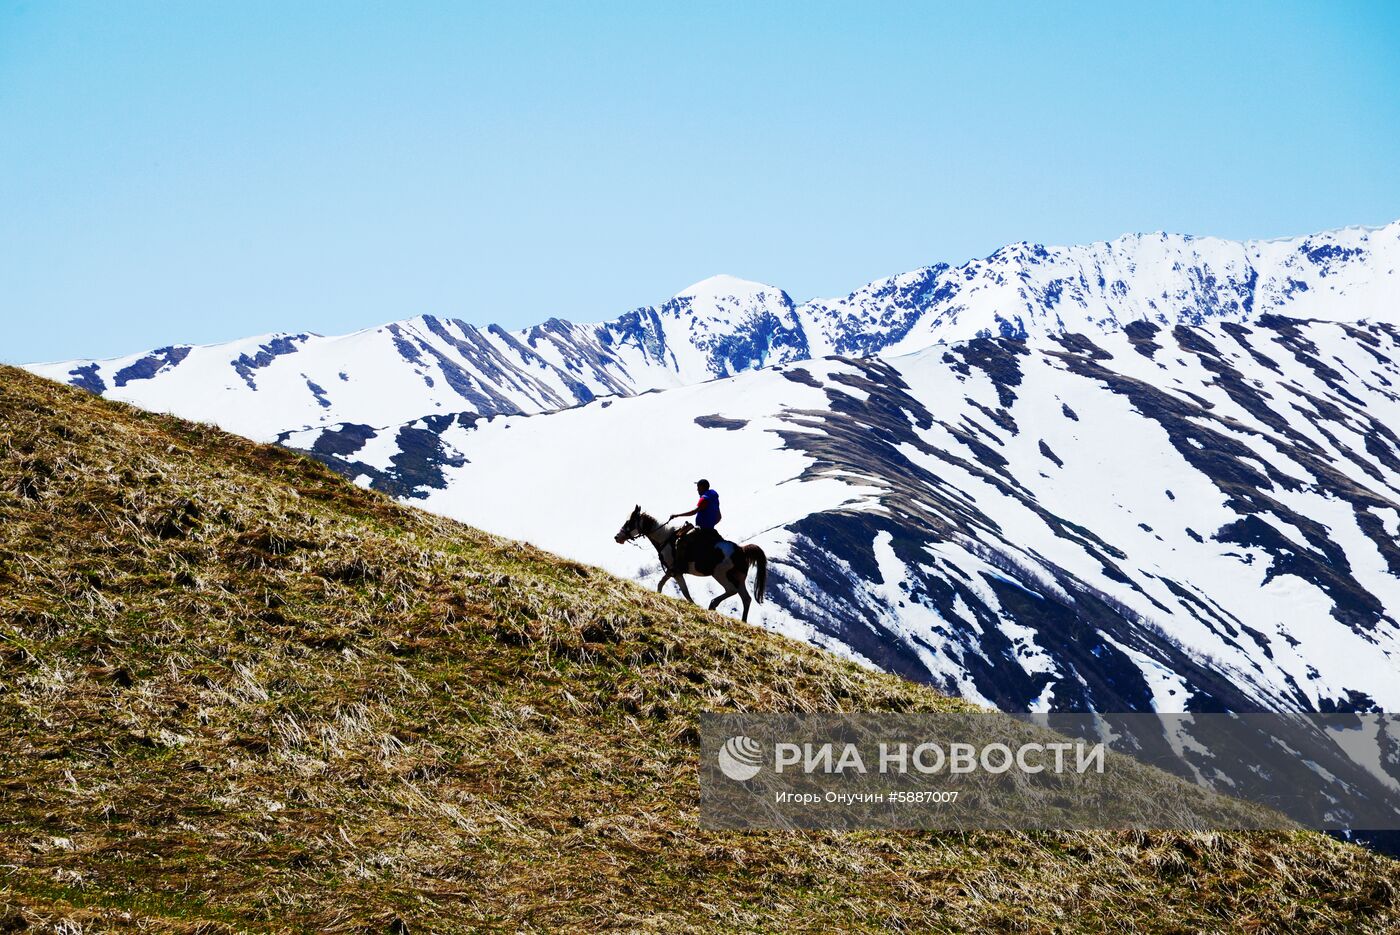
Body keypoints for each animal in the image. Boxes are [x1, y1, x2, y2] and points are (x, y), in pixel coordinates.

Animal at [613, 503, 767, 621]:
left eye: (629, 522)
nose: (617, 537)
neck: (666, 538)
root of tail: (741, 550)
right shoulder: (675, 572)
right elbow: (676, 589)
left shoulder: (674, 571)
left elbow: (673, 588)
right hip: (739, 579)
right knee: (746, 599)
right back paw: (743, 620)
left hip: (721, 575)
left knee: (731, 590)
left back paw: (713, 604)